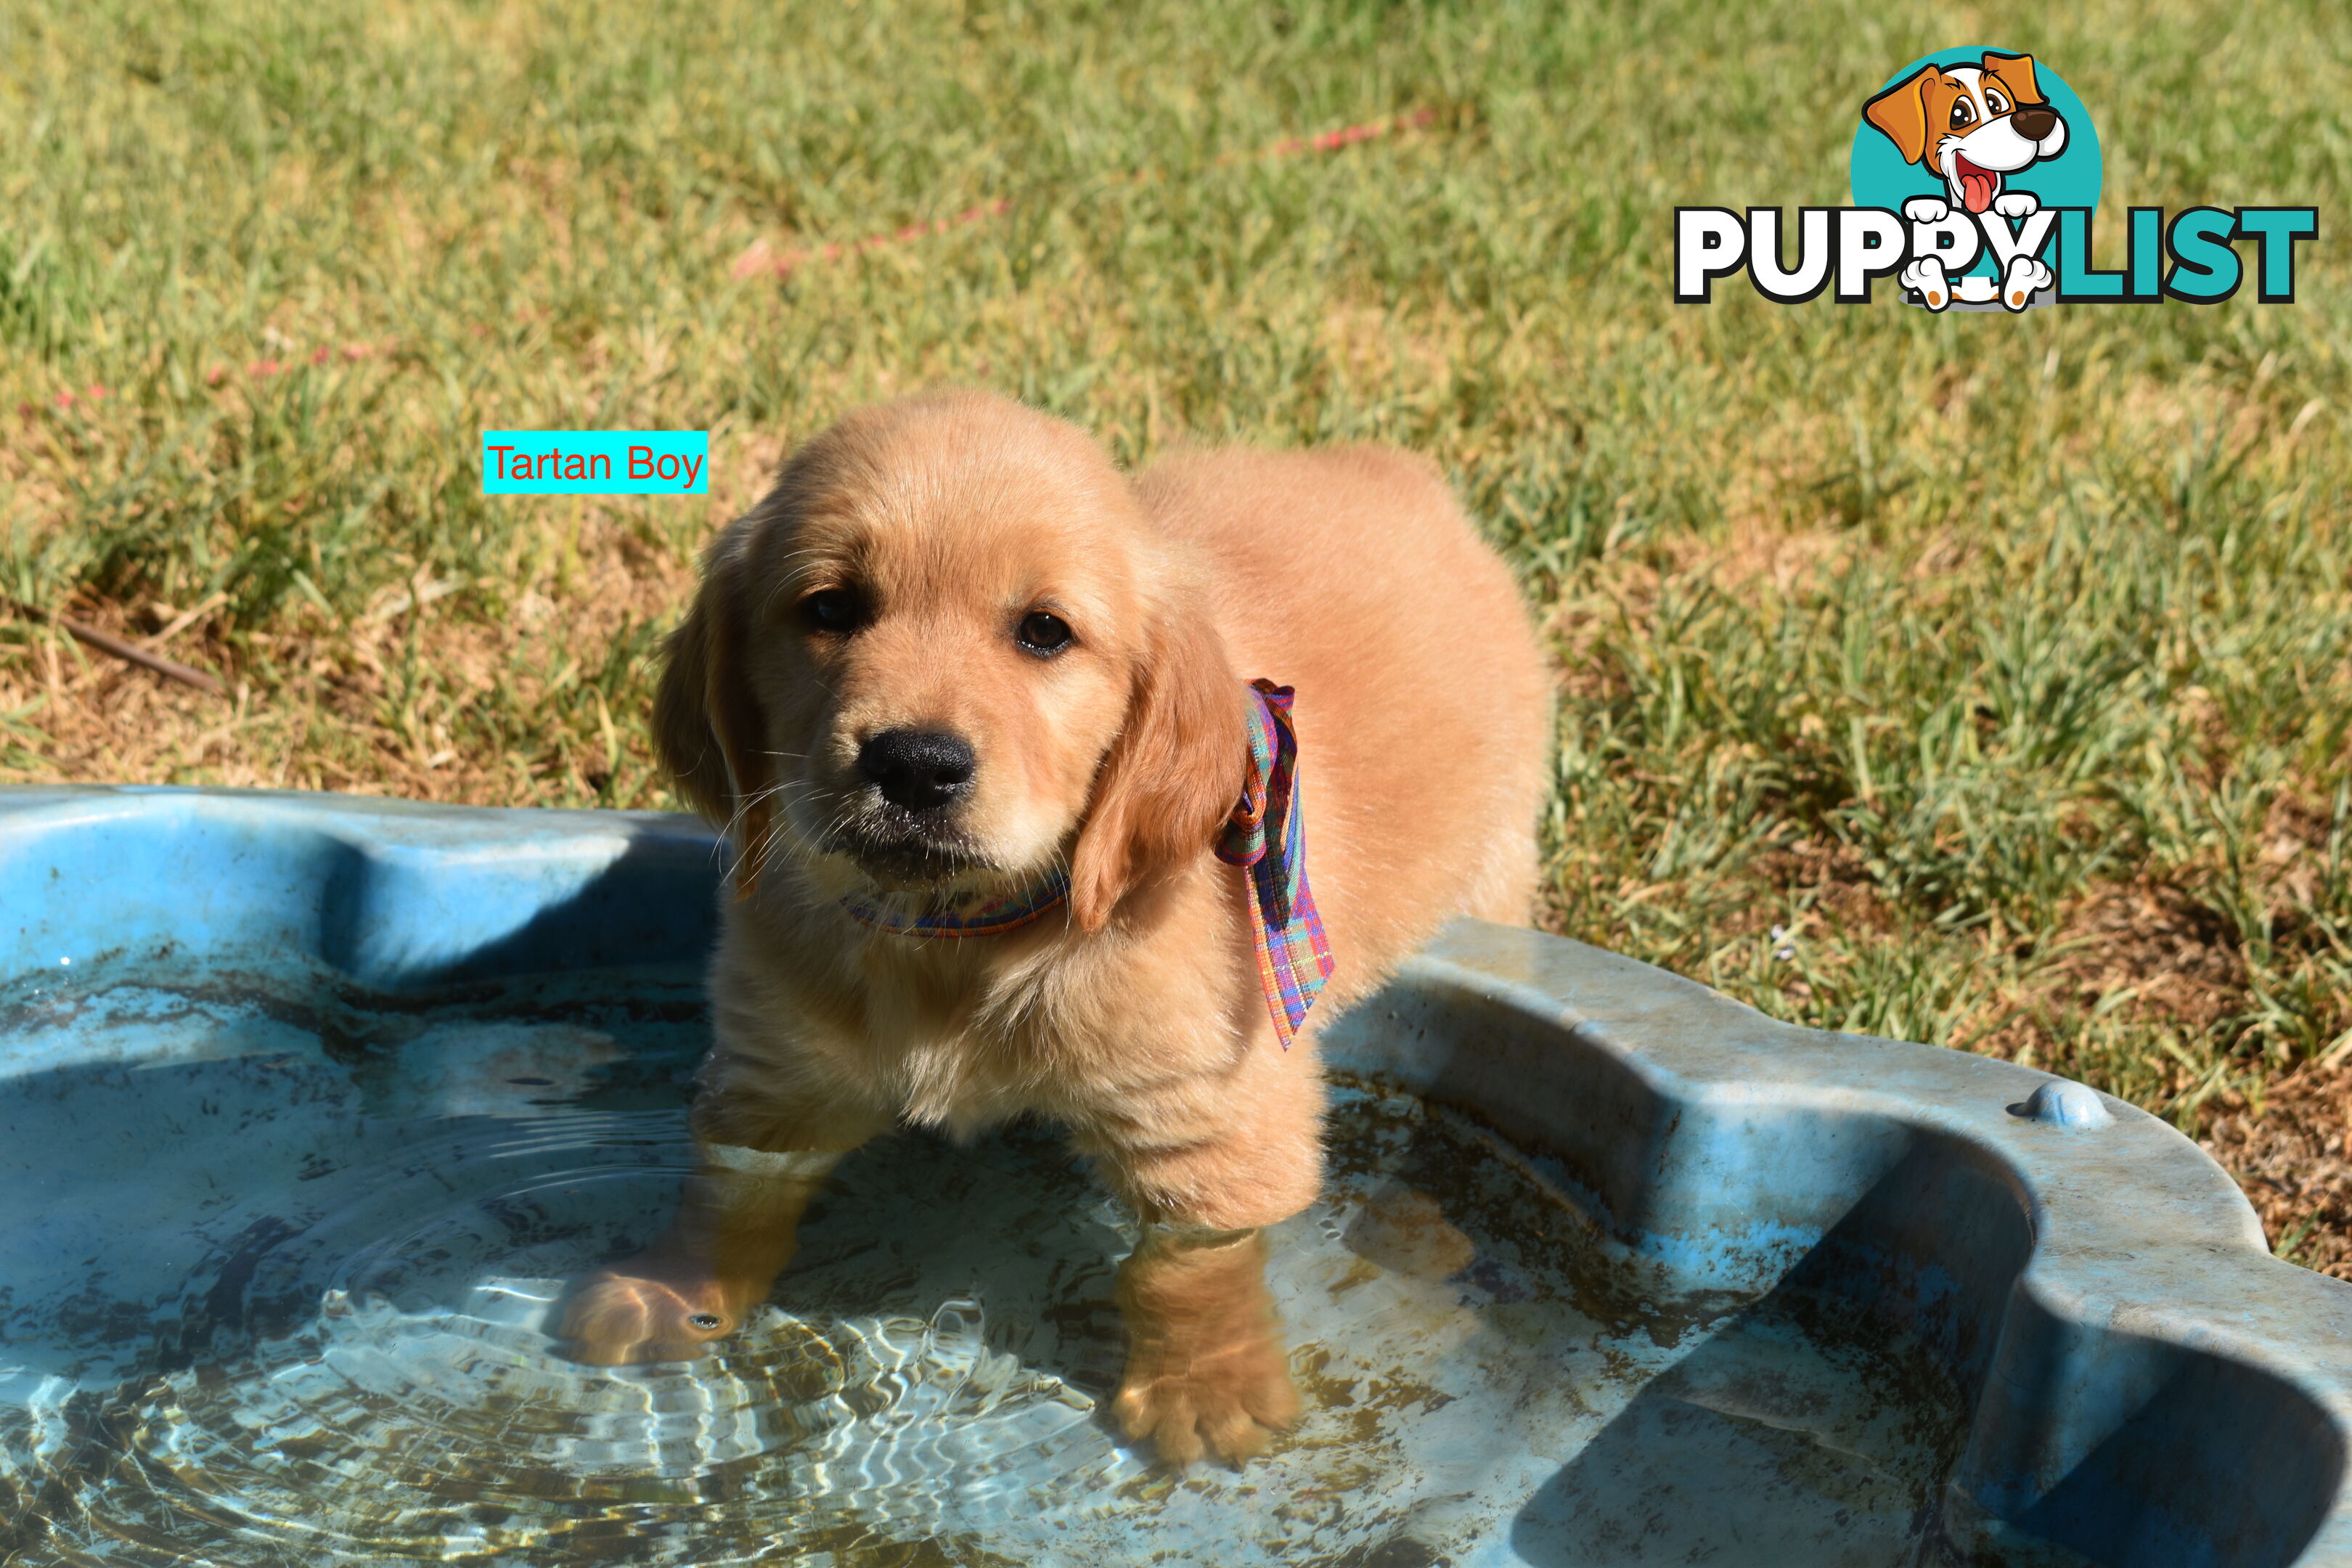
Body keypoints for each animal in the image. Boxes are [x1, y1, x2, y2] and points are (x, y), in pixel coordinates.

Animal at [560, 385, 1552, 1466]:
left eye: (1044, 632)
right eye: (830, 609)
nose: (914, 765)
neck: (956, 937)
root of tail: (1391, 468)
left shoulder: (1213, 1116)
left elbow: (1184, 1265)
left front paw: (1205, 1387)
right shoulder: (774, 1073)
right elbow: (730, 1190)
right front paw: (666, 1294)